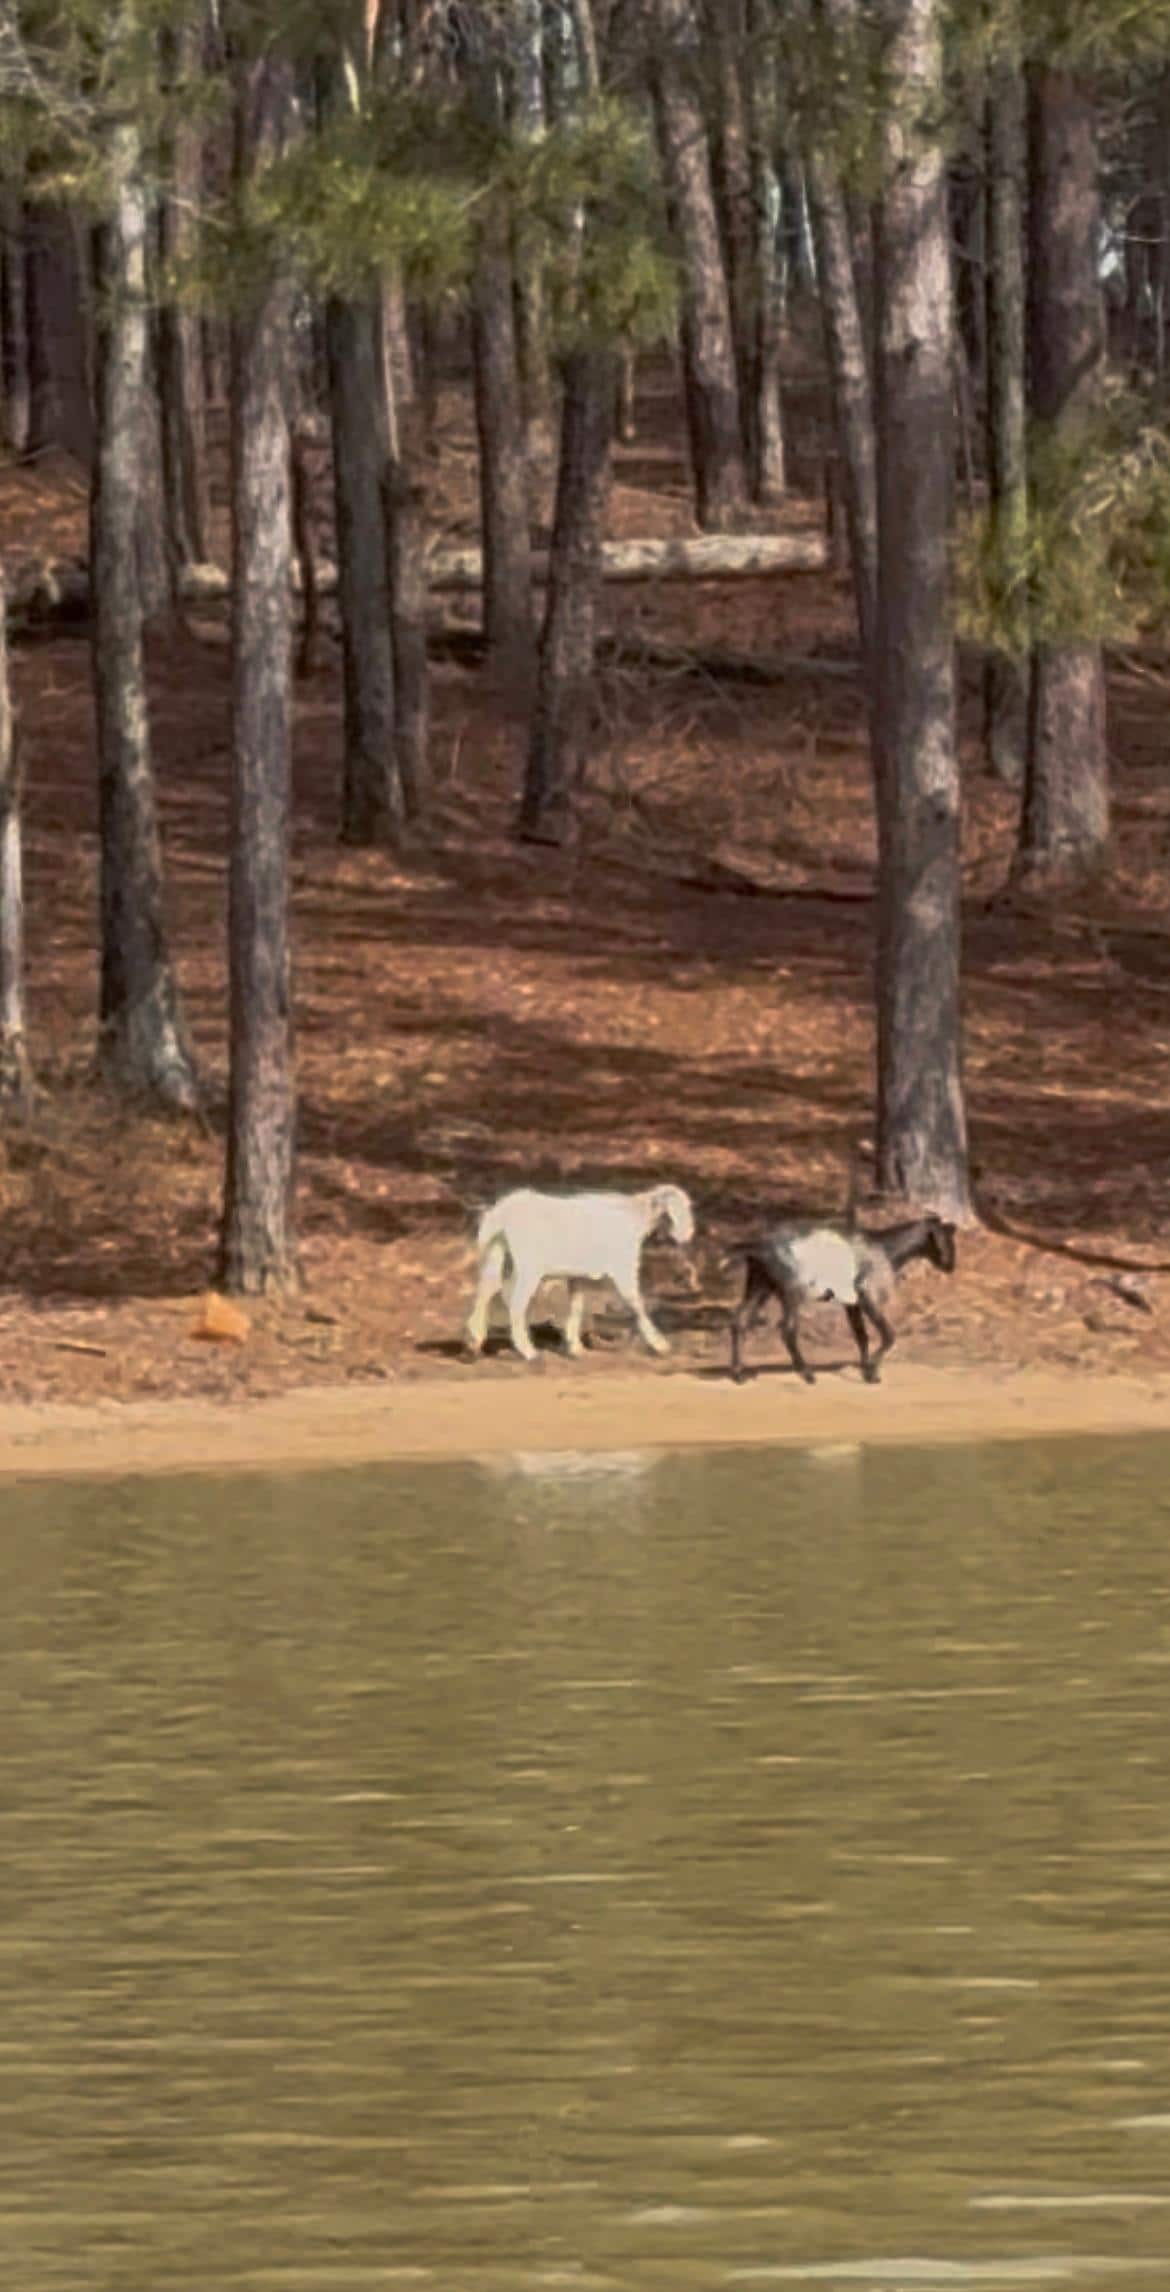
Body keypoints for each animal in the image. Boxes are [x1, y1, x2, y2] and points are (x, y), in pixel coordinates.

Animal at [466, 1183, 695, 1363]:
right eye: (674, 1210)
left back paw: (475, 1342)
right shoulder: (623, 1266)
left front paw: (575, 1347)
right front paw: (660, 1344)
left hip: (497, 1252)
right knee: (514, 1301)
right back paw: (528, 1352)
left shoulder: (580, 1275)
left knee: (487, 1290)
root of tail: (500, 1213)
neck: (634, 1218)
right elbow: (636, 1303)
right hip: (529, 1266)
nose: (686, 1235)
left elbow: (576, 1306)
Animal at [728, 1214, 956, 1386]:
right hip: (792, 1292)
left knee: (740, 1321)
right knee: (787, 1329)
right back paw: (807, 1374)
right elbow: (889, 1335)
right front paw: (872, 1371)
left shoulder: (852, 1304)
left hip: (760, 1286)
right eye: (945, 1238)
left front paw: (867, 1372)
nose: (950, 1266)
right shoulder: (869, 1297)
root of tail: (759, 1246)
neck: (885, 1248)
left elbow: (861, 1336)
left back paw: (738, 1374)